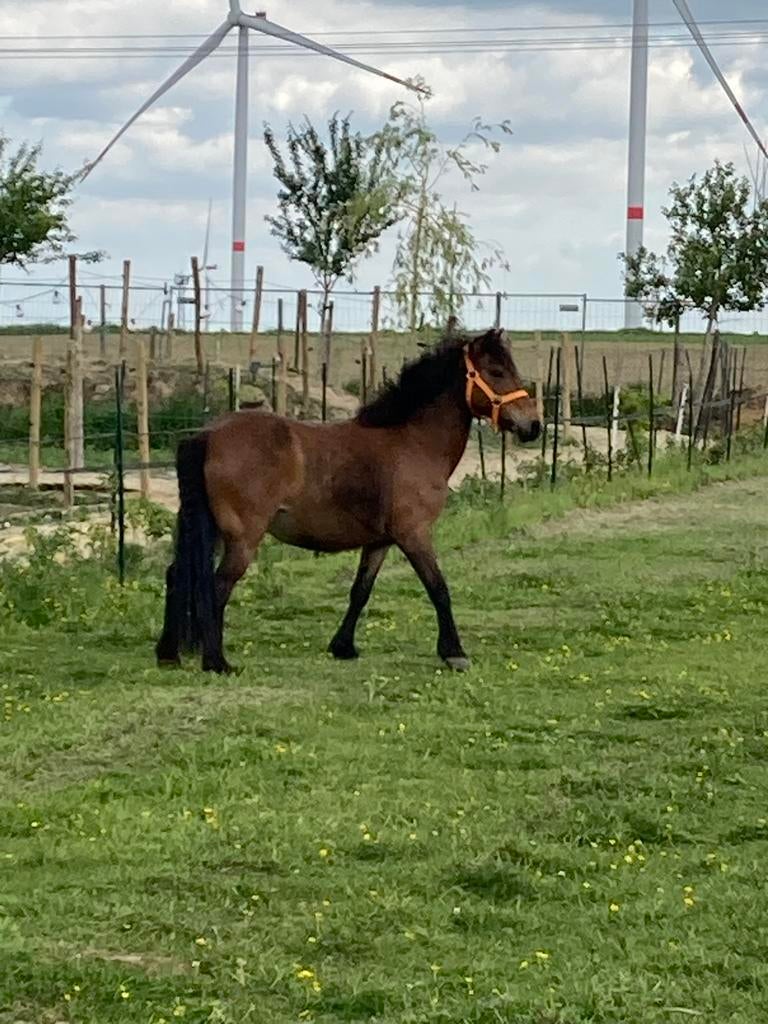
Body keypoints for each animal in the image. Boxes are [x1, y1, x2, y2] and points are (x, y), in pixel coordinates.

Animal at [155, 328, 541, 674]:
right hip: (243, 538)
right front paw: (454, 653)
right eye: (497, 371)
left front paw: (343, 646)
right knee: (217, 587)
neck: (412, 441)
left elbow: (361, 590)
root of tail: (207, 435)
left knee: (177, 576)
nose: (533, 426)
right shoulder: (414, 535)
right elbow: (438, 589)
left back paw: (169, 654)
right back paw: (216, 662)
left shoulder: (380, 542)